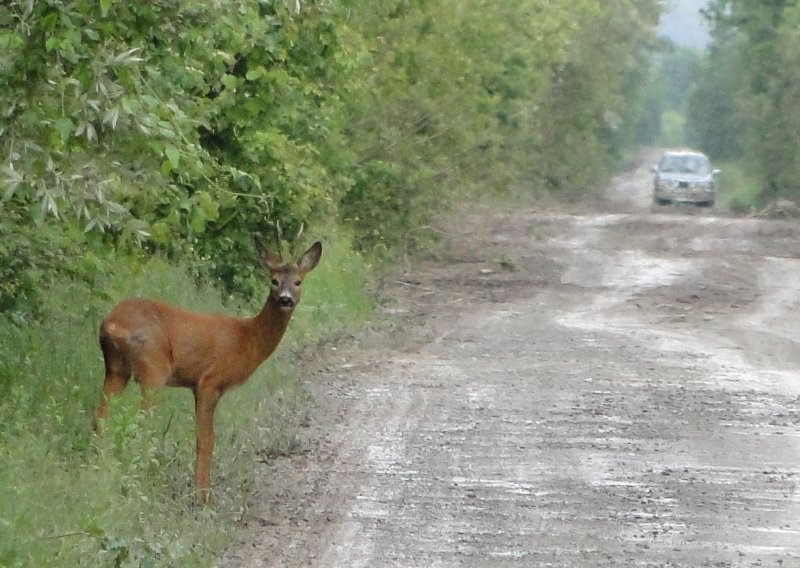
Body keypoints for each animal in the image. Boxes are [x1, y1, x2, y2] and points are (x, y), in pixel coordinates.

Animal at [91, 237, 322, 504]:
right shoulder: (210, 382)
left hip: (115, 368)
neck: (247, 339)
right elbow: (206, 440)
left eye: (298, 281)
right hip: (153, 368)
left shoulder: (195, 385)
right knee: (141, 425)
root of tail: (112, 323)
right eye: (274, 280)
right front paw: (203, 499)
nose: (285, 299)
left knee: (100, 417)